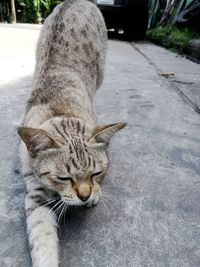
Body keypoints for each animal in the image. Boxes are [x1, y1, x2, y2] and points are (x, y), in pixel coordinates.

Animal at [18, 1, 126, 266]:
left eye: (96, 172)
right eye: (64, 177)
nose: (85, 196)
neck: (59, 107)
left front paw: (96, 194)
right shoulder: (34, 192)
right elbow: (40, 234)